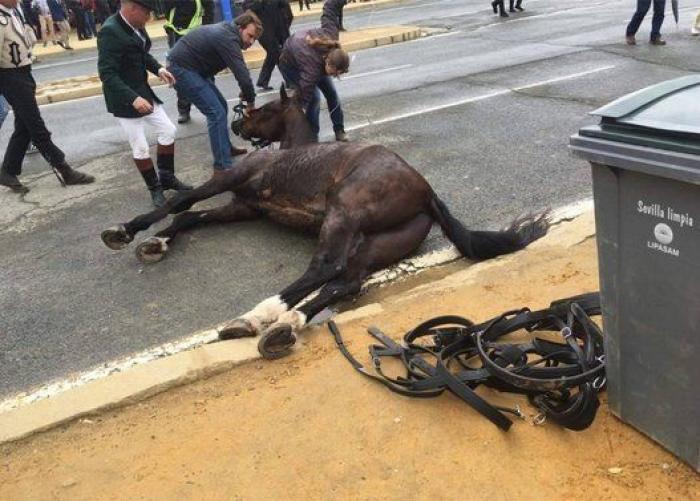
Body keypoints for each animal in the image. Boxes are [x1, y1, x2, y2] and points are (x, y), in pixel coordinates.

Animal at [100, 87, 549, 359]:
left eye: (265, 109)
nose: (237, 124)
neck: (288, 152)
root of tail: (426, 191)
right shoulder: (244, 207)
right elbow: (192, 215)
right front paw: (156, 243)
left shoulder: (229, 180)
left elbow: (182, 200)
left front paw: (125, 232)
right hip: (374, 244)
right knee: (344, 281)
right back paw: (282, 325)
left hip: (342, 214)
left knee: (325, 266)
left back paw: (264, 316)